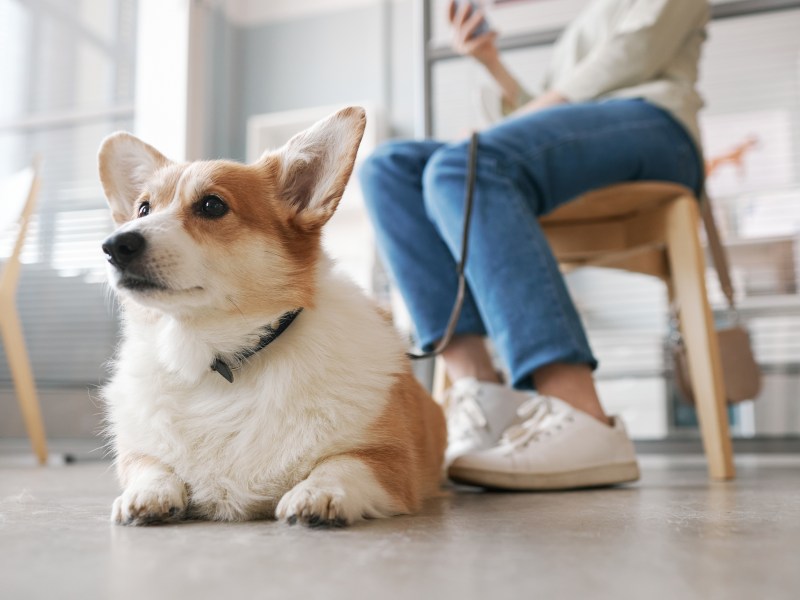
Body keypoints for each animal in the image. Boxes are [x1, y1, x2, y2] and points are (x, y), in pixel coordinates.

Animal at [97, 106, 446, 524]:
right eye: (143, 209)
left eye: (212, 205)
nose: (114, 246)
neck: (218, 357)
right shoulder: (140, 452)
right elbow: (152, 465)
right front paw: (148, 495)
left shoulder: (389, 462)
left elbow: (341, 464)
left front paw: (318, 493)